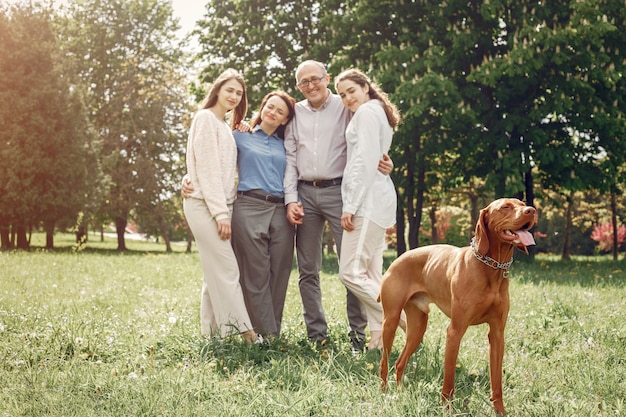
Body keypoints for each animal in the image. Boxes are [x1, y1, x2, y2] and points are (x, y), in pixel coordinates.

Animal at [376, 197, 536, 412]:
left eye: (523, 204)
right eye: (505, 207)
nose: (532, 210)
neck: (490, 268)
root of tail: (398, 259)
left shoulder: (497, 334)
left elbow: (497, 383)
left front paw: (500, 411)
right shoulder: (455, 331)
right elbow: (449, 379)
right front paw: (447, 409)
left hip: (417, 328)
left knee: (400, 363)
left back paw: (400, 393)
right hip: (391, 322)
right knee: (384, 363)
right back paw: (385, 394)